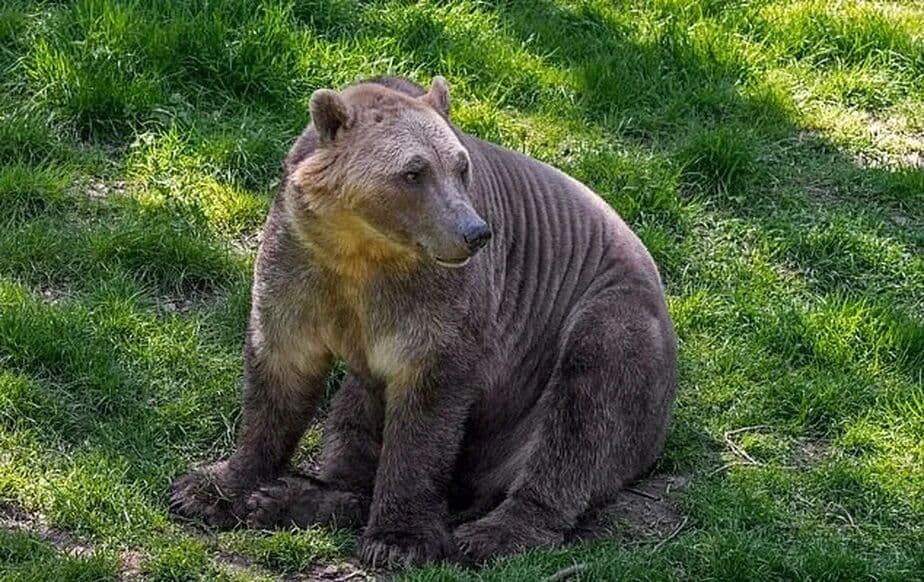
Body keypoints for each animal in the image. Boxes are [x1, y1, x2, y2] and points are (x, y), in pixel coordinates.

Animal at [170, 75, 678, 568]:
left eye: (460, 167)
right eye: (413, 172)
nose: (474, 233)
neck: (361, 249)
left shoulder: (440, 304)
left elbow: (427, 410)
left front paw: (399, 539)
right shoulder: (300, 263)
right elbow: (279, 369)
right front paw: (208, 489)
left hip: (606, 320)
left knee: (584, 410)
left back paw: (494, 533)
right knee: (353, 416)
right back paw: (291, 499)